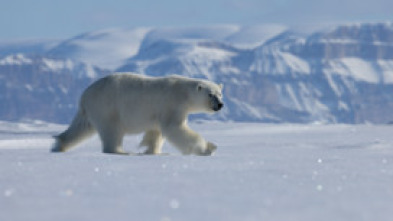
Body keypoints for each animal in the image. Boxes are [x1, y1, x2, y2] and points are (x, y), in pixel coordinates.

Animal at [52, 72, 224, 155]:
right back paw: (120, 151)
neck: (184, 93)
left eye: (220, 93)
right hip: (107, 107)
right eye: (210, 94)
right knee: (112, 130)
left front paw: (154, 152)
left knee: (80, 128)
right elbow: (175, 128)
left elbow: (156, 133)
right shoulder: (172, 104)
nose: (220, 105)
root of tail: (84, 95)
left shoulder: (160, 112)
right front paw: (208, 148)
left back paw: (59, 145)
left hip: (92, 110)